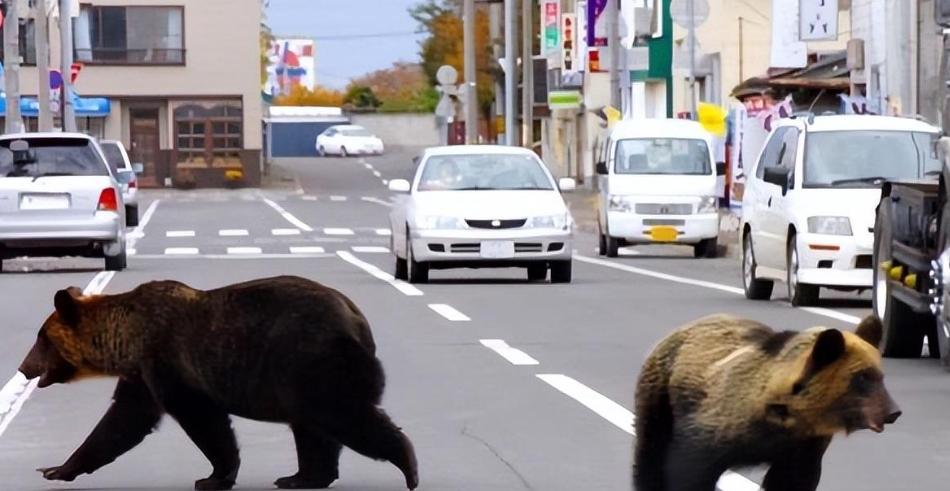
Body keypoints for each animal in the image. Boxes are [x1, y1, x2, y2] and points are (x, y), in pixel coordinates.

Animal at [17, 275, 418, 491]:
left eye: (41, 339)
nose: (23, 368)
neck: (127, 340)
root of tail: (357, 320)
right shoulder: (142, 375)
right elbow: (123, 421)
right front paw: (57, 468)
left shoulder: (167, 360)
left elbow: (201, 418)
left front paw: (214, 476)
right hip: (301, 374)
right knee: (312, 427)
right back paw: (301, 476)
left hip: (310, 360)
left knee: (340, 414)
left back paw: (408, 465)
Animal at [632, 314, 900, 491]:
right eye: (862, 377)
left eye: (881, 375)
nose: (893, 412)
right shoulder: (711, 430)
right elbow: (686, 472)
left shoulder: (803, 446)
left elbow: (792, 480)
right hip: (659, 397)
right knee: (649, 452)